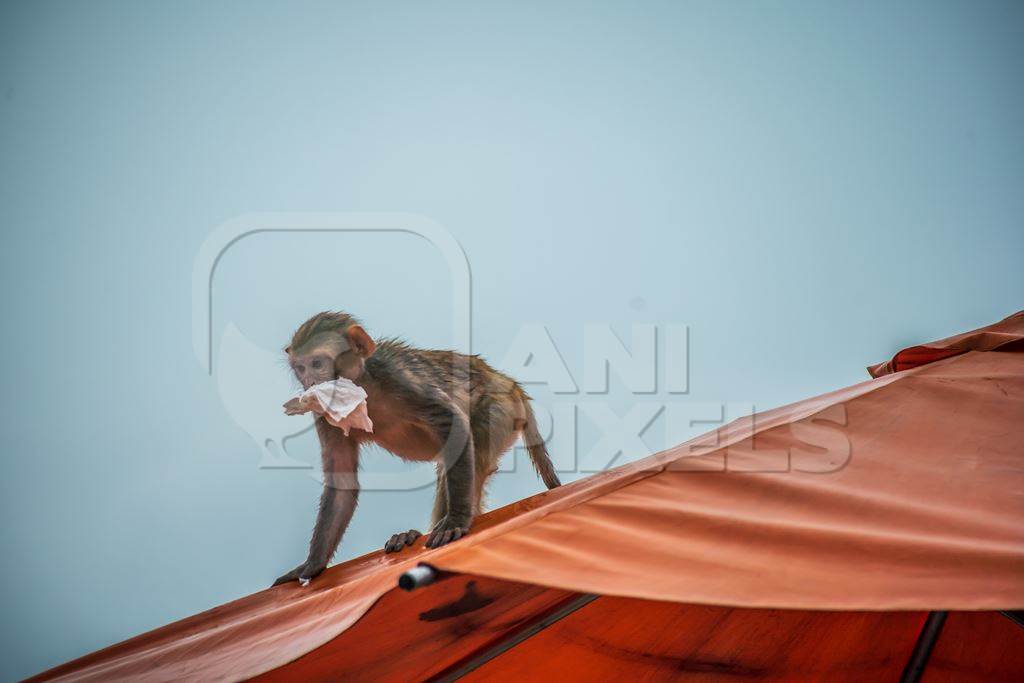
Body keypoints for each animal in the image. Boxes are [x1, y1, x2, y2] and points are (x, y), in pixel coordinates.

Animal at [272, 313, 561, 585]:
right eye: (300, 368)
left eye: (317, 364)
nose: (310, 383)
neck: (363, 384)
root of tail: (508, 383)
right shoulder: (325, 414)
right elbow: (342, 482)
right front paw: (312, 564)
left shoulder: (399, 379)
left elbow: (453, 424)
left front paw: (456, 519)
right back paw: (408, 537)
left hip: (498, 410)